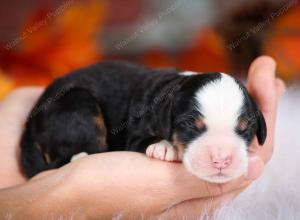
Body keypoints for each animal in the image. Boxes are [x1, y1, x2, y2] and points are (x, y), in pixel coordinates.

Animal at [20, 60, 268, 182]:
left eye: (244, 129)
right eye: (190, 126)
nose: (221, 160)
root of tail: (31, 120)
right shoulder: (136, 133)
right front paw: (164, 147)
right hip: (78, 104)